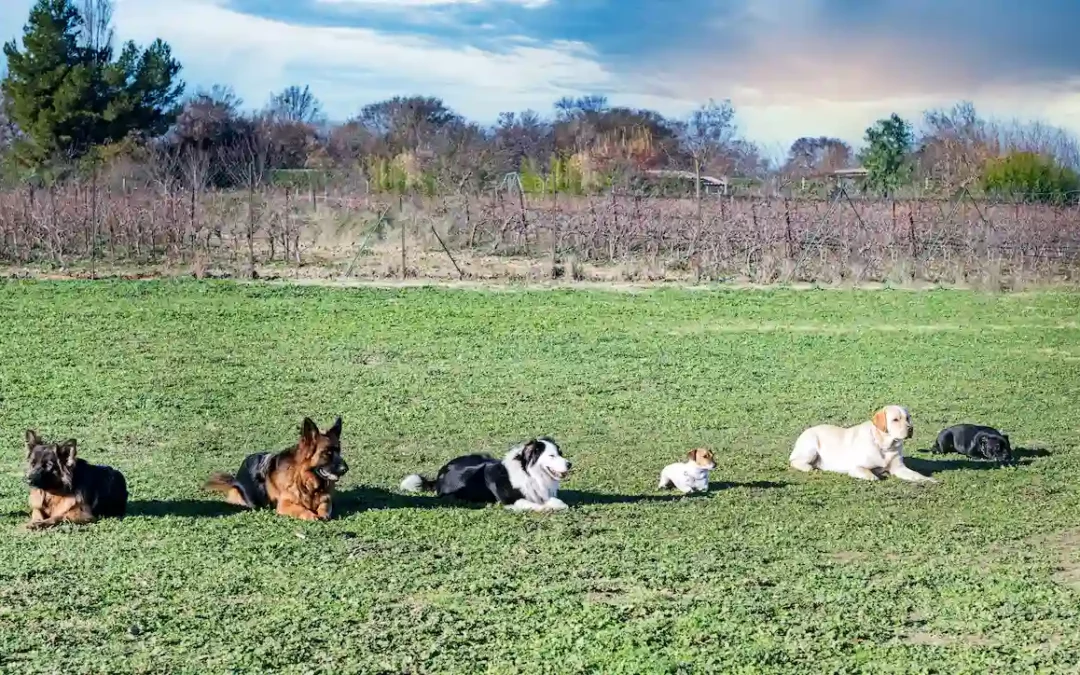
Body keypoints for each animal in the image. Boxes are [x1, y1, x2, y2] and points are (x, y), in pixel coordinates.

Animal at [204, 416, 347, 520]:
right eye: (327, 453)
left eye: (339, 451)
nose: (345, 469)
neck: (305, 482)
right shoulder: (284, 505)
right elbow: (301, 509)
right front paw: (312, 515)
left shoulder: (326, 499)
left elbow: (325, 506)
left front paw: (322, 513)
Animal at [401, 436, 574, 509]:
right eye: (551, 456)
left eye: (560, 453)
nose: (569, 464)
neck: (529, 473)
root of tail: (440, 474)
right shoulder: (513, 501)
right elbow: (542, 505)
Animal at [786, 406, 937, 483]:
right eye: (895, 419)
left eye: (908, 418)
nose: (910, 429)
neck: (884, 446)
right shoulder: (856, 467)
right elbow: (871, 474)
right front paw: (877, 475)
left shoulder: (899, 468)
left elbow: (916, 475)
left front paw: (928, 479)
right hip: (811, 447)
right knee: (795, 461)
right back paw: (810, 467)